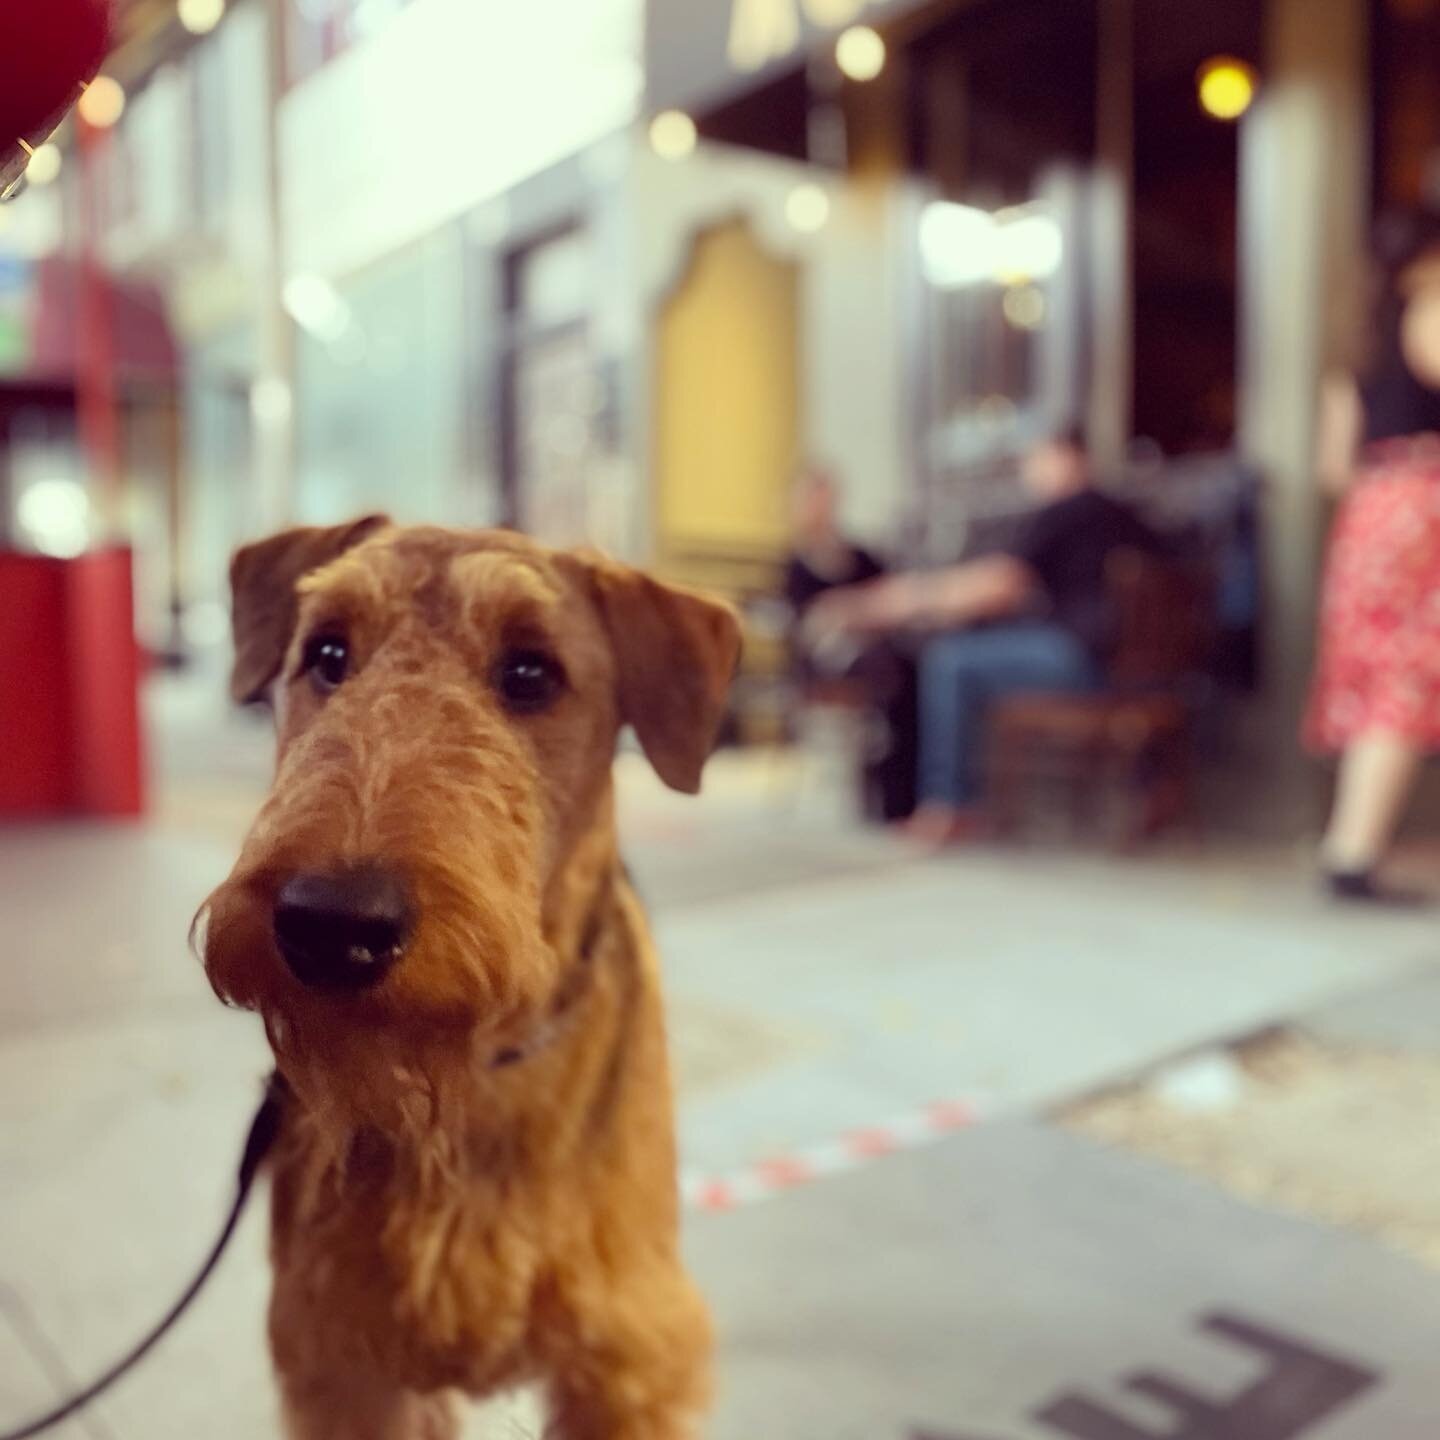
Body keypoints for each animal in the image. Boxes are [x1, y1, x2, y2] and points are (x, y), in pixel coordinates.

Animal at [200, 524, 743, 1440]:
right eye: (327, 652)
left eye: (531, 674)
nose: (333, 925)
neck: (480, 1079)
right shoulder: (343, 1363)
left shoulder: (625, 1363)